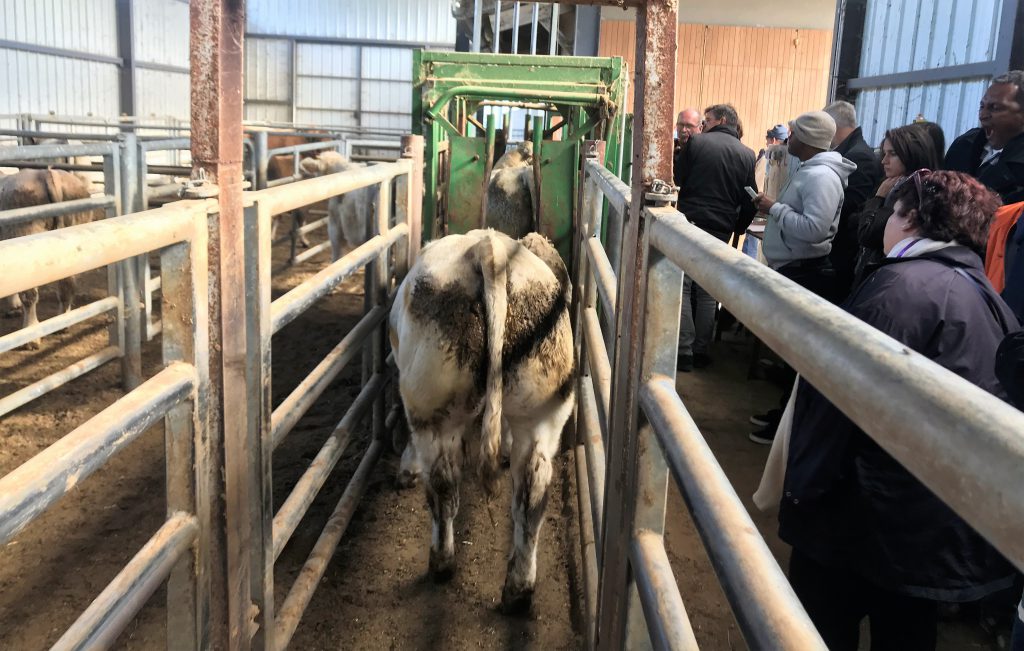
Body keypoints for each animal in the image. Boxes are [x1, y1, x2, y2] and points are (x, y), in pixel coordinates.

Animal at [388, 228, 575, 613]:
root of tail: (488, 249)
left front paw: (407, 470)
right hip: (542, 416)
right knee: (532, 493)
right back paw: (518, 591)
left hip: (432, 410)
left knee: (444, 486)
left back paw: (441, 562)